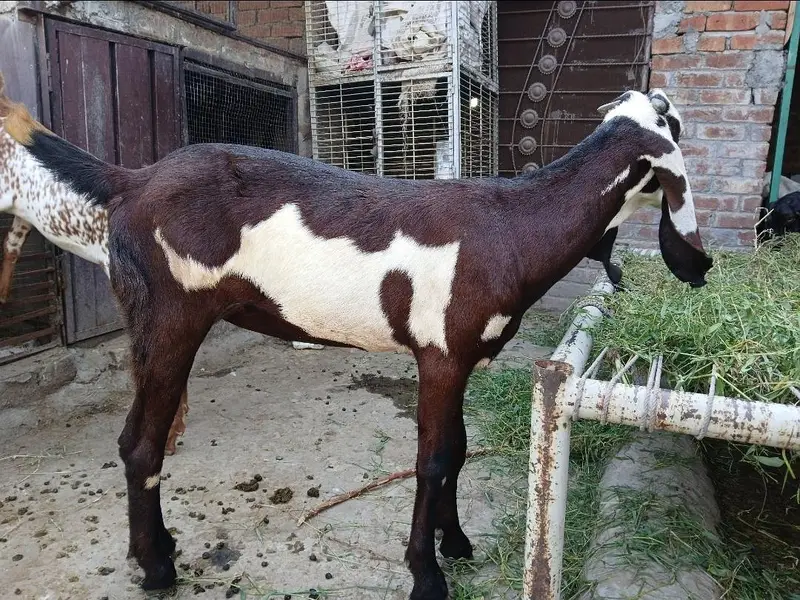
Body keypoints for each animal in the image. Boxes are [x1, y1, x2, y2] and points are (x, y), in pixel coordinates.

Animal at [3, 84, 712, 599]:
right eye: (674, 133)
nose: (700, 265)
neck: (513, 225)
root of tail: (131, 184)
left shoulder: (456, 359)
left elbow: (457, 450)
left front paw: (457, 545)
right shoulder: (441, 355)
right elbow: (433, 459)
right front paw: (427, 576)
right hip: (168, 318)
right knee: (139, 444)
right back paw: (156, 569)